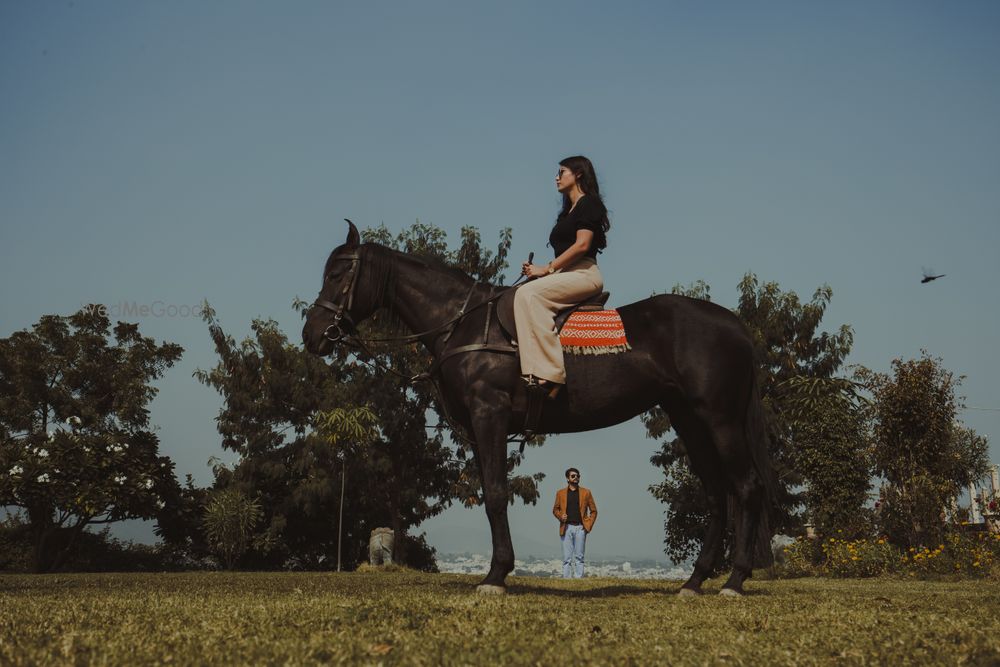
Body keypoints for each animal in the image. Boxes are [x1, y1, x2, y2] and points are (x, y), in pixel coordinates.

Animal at [300, 223, 776, 596]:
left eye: (339, 273)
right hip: (689, 420)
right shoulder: (478, 427)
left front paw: (496, 575)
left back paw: (734, 580)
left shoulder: (488, 415)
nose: (312, 334)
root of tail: (734, 325)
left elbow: (495, 494)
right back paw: (694, 581)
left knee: (747, 486)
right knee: (716, 494)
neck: (465, 324)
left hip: (719, 419)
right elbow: (491, 493)